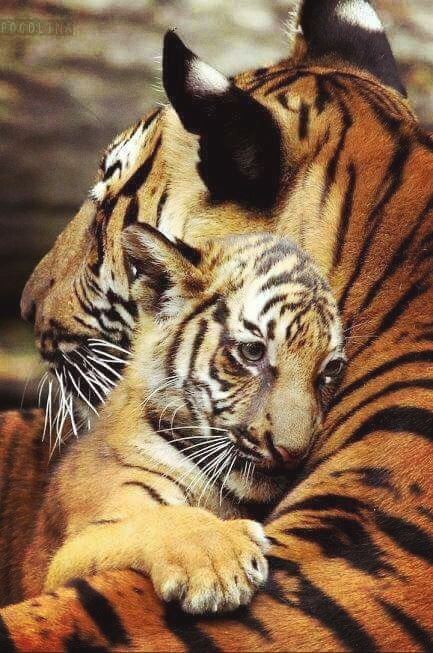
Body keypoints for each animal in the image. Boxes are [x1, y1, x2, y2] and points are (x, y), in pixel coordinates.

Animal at [22, 227, 344, 614]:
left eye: (331, 369)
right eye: (253, 351)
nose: (291, 452)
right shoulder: (66, 557)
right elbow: (159, 519)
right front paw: (219, 563)